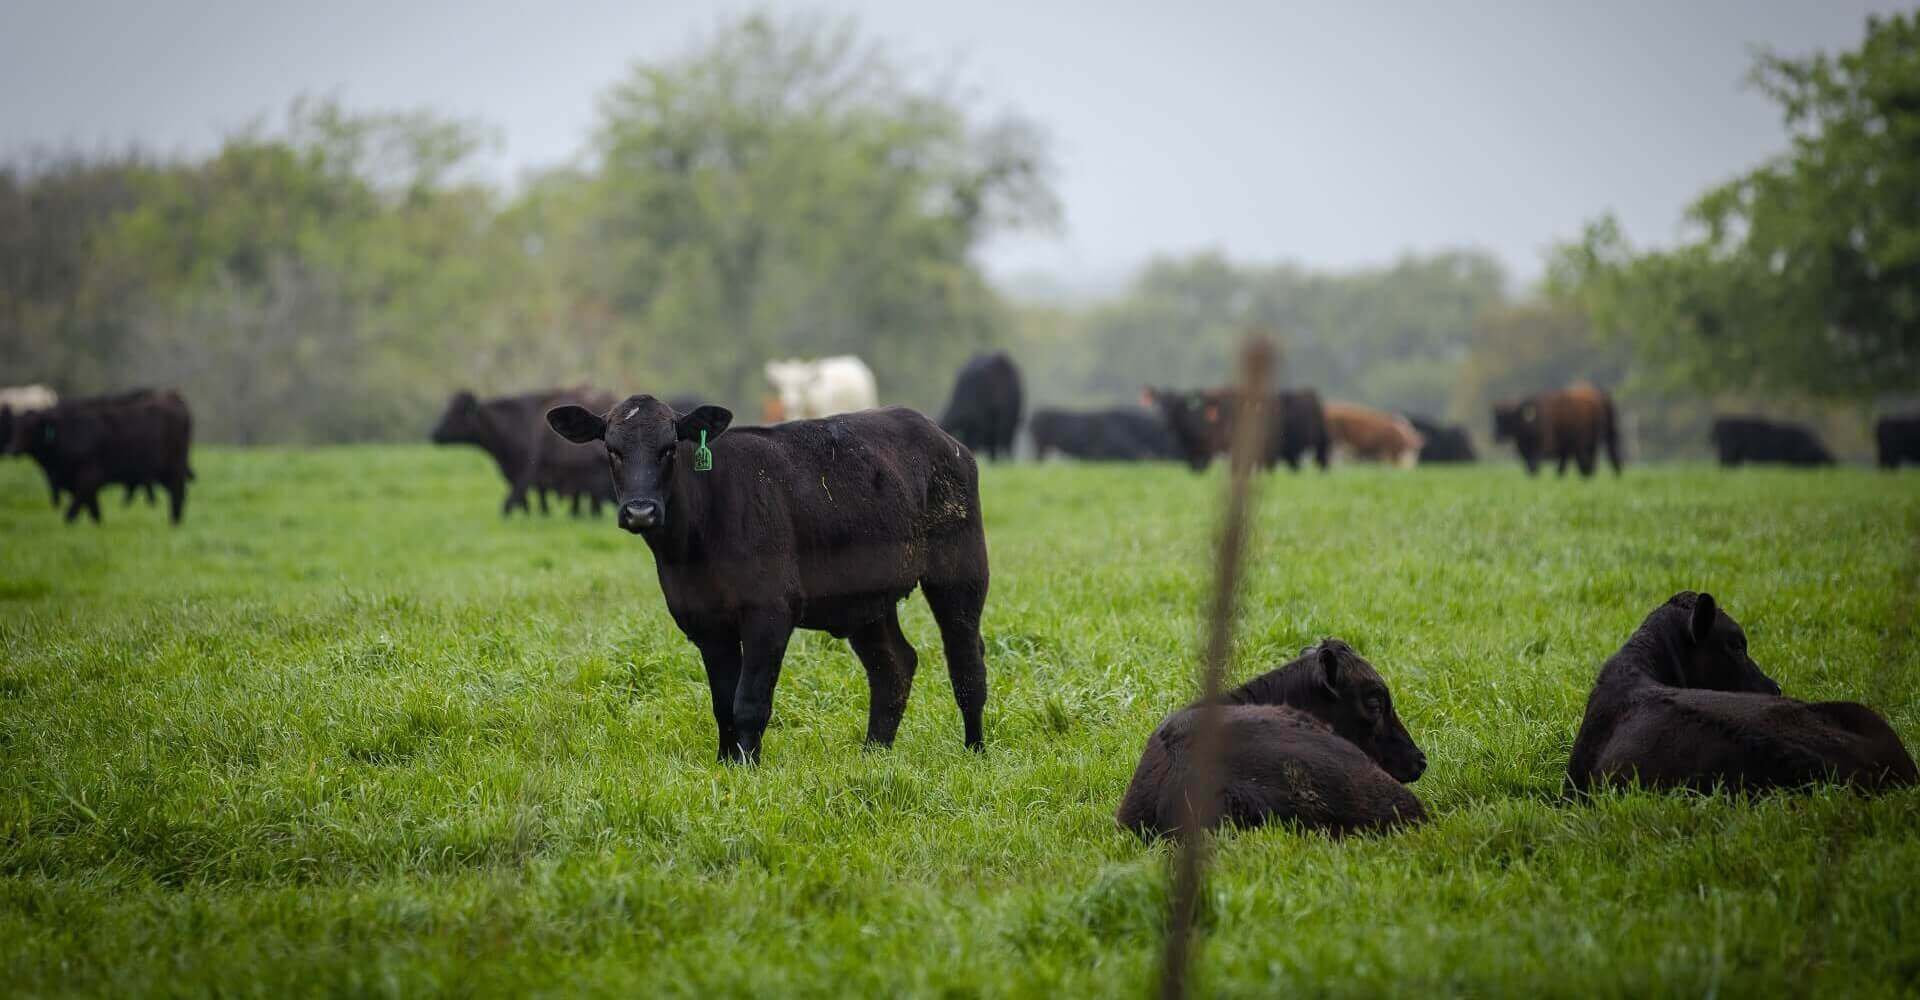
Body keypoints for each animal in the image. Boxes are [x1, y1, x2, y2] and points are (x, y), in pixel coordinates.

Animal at [15, 389, 193, 524]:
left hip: (172, 467)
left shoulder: (88, 476)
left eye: (30, 429)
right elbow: (92, 509)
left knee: (177, 493)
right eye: (18, 427)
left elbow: (75, 510)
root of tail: (173, 397)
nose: (12, 449)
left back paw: (174, 522)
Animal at [546, 396, 990, 764]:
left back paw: (974, 751)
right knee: (893, 666)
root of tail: (941, 436)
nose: (640, 511)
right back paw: (873, 756)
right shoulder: (704, 622)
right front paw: (726, 764)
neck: (693, 546)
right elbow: (723, 702)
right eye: (612, 449)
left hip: (961, 571)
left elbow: (749, 701)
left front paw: (749, 768)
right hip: (866, 600)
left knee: (966, 662)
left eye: (669, 447)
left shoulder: (770, 612)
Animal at [1492, 383, 1622, 477]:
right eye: (1497, 418)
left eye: (1510, 418)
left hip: (1593, 441)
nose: (1496, 436)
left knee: (1595, 459)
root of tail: (1601, 395)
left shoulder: (1543, 447)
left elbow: (1536, 465)